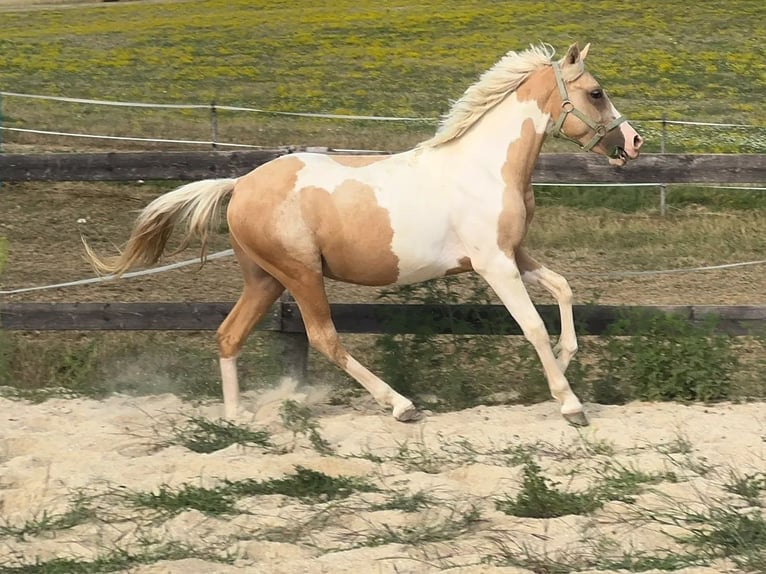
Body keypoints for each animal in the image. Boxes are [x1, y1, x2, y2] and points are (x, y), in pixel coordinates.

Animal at [84, 42, 643, 427]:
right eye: (596, 92)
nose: (634, 142)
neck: (484, 166)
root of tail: (239, 185)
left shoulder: (514, 252)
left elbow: (563, 288)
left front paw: (568, 360)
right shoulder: (493, 264)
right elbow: (530, 326)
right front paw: (570, 404)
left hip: (264, 279)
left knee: (228, 335)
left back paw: (236, 420)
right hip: (300, 274)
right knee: (324, 338)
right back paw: (400, 405)